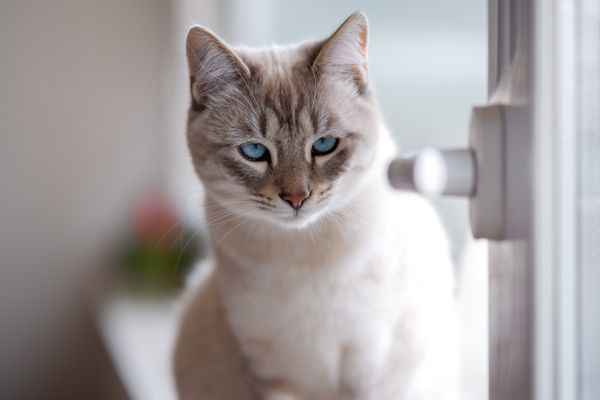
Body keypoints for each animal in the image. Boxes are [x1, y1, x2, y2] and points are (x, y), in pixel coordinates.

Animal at [173, 10, 460, 398]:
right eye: (254, 151)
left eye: (324, 145)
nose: (296, 198)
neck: (304, 257)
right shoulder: (273, 373)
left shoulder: (370, 361)